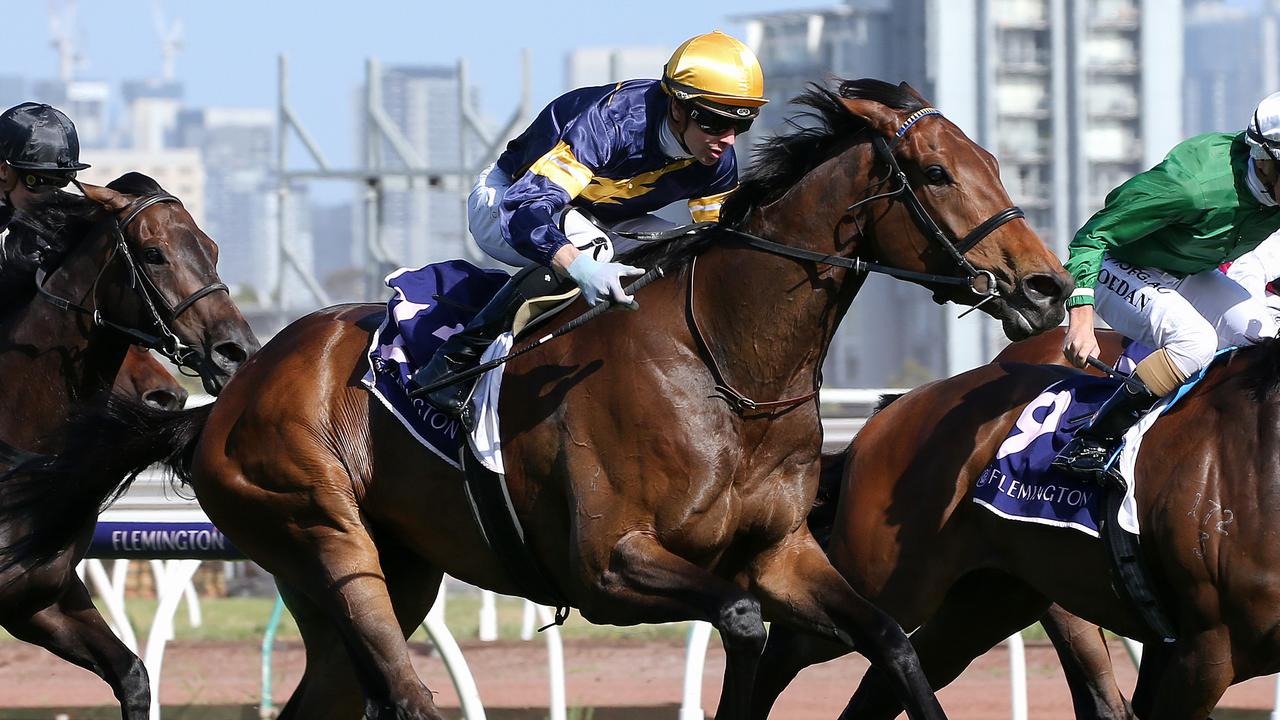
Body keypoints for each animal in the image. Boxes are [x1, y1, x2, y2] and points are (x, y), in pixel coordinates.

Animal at [747, 335, 1280, 717]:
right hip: (887, 579)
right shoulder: (1206, 647)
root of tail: (897, 408)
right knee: (789, 653)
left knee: (884, 676)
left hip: (992, 600)